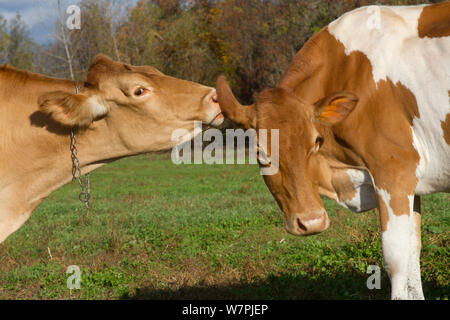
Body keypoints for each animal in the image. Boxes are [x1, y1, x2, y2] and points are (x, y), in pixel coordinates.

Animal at [216, 1, 448, 300]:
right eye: (260, 153)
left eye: (316, 141)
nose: (311, 221)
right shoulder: (410, 184)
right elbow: (412, 253)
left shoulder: (394, 171)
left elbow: (396, 259)